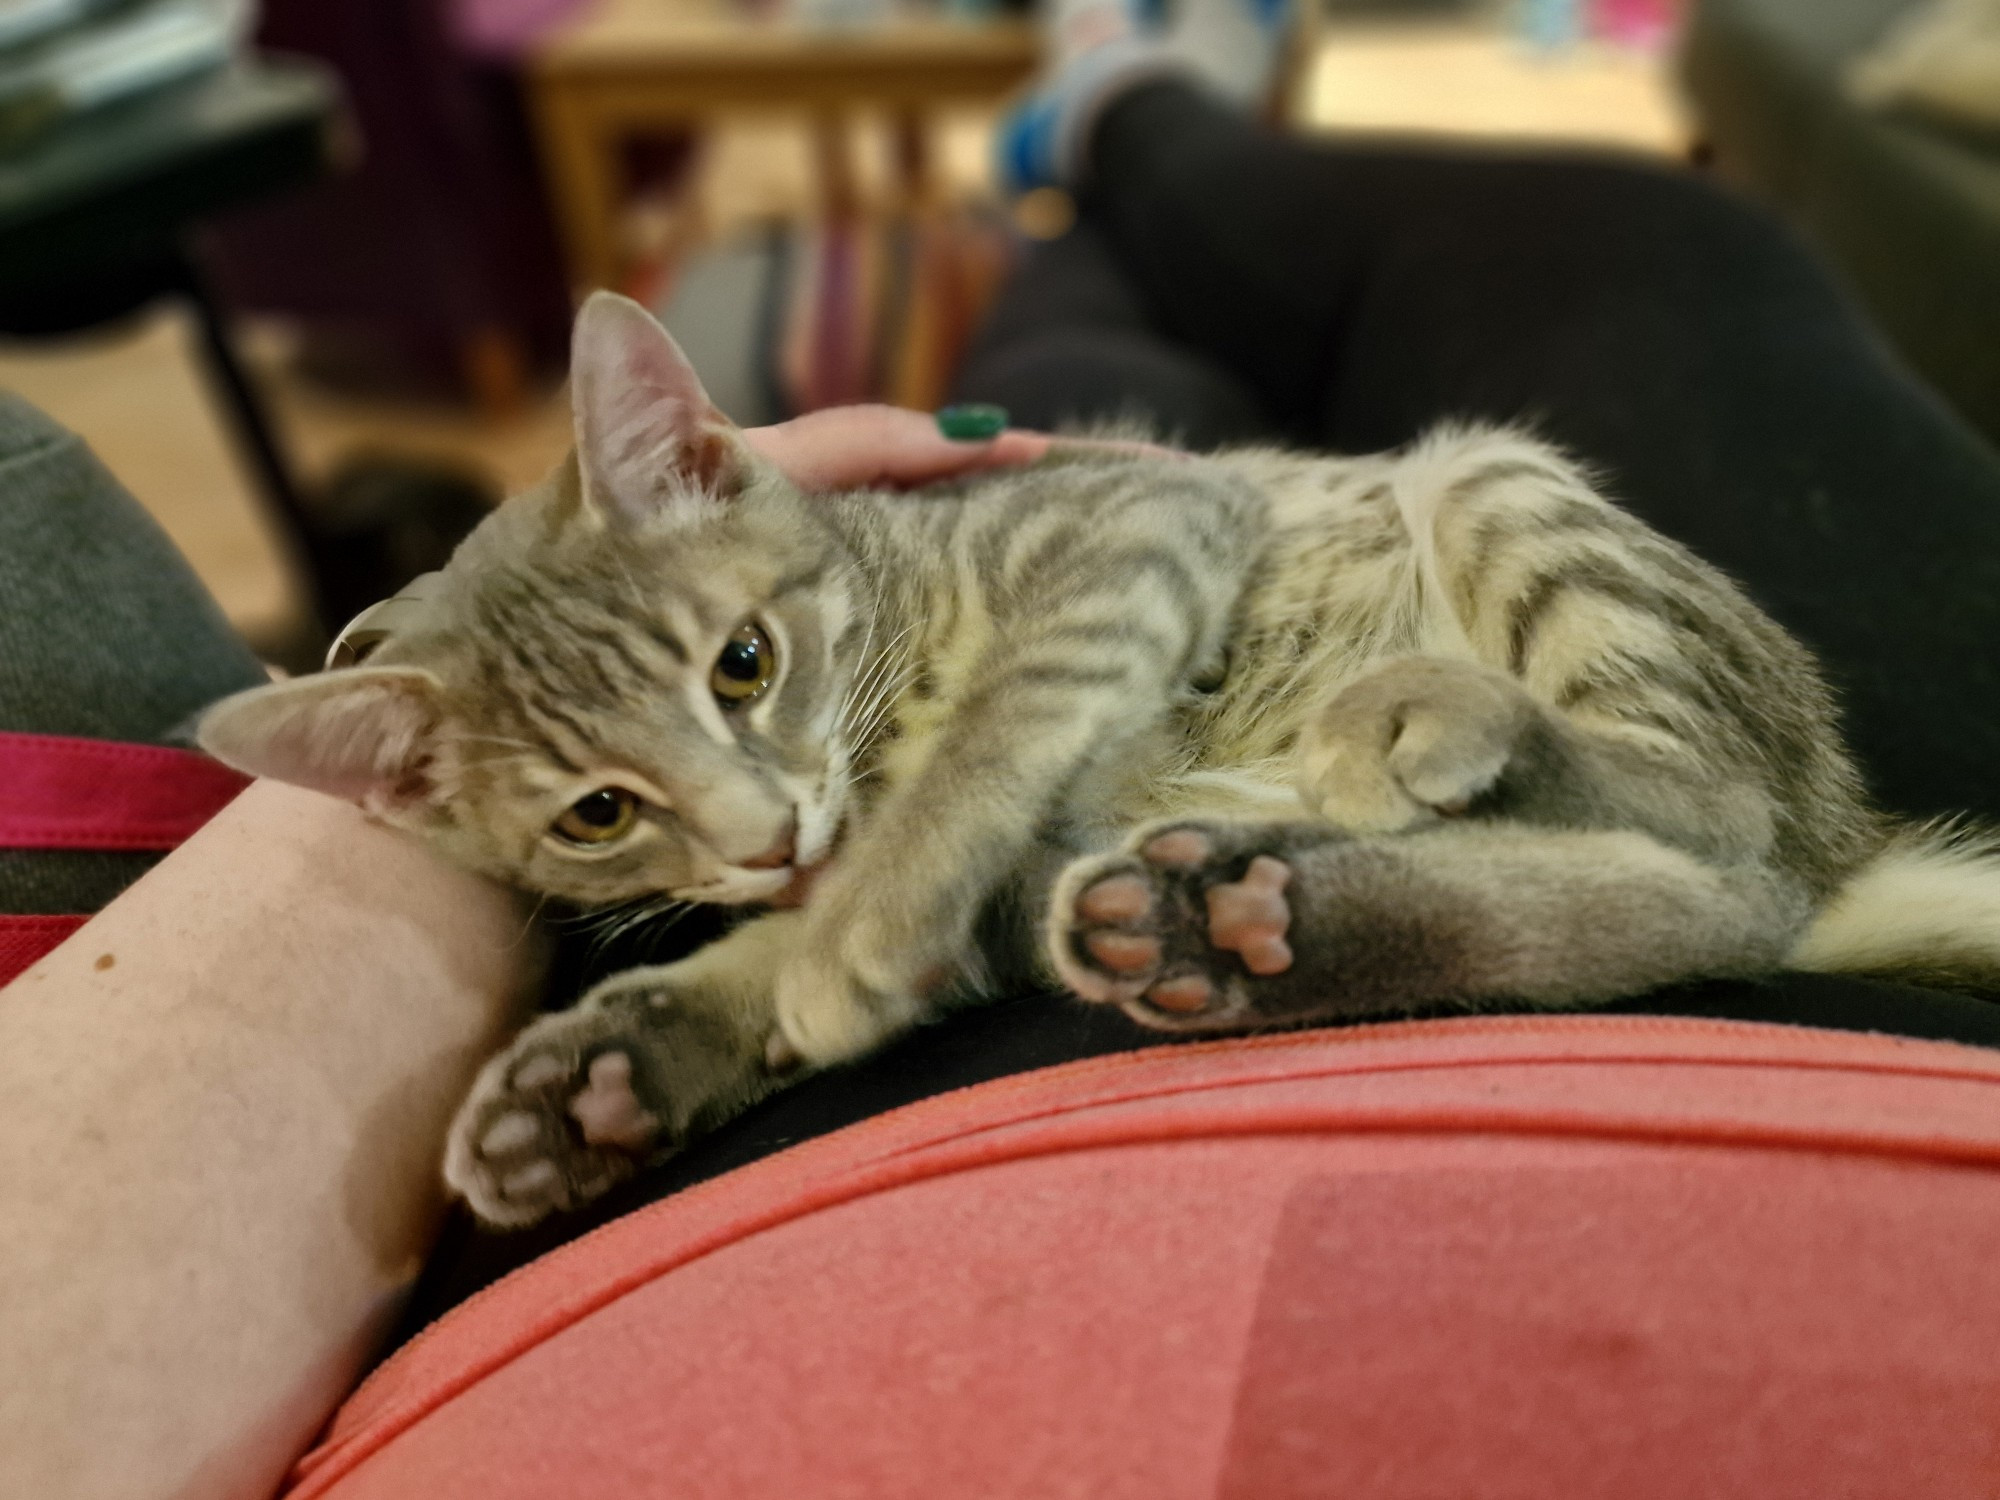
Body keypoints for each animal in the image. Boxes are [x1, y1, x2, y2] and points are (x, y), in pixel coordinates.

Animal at [199, 288, 2000, 1224]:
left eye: (743, 663)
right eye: (595, 813)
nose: (762, 837)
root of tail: (1849, 834)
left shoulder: (1134, 519)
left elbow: (1003, 719)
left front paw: (838, 935)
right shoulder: (981, 886)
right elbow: (817, 937)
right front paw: (623, 1070)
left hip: (1506, 491)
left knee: (1729, 863)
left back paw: (1422, 740)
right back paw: (1259, 922)